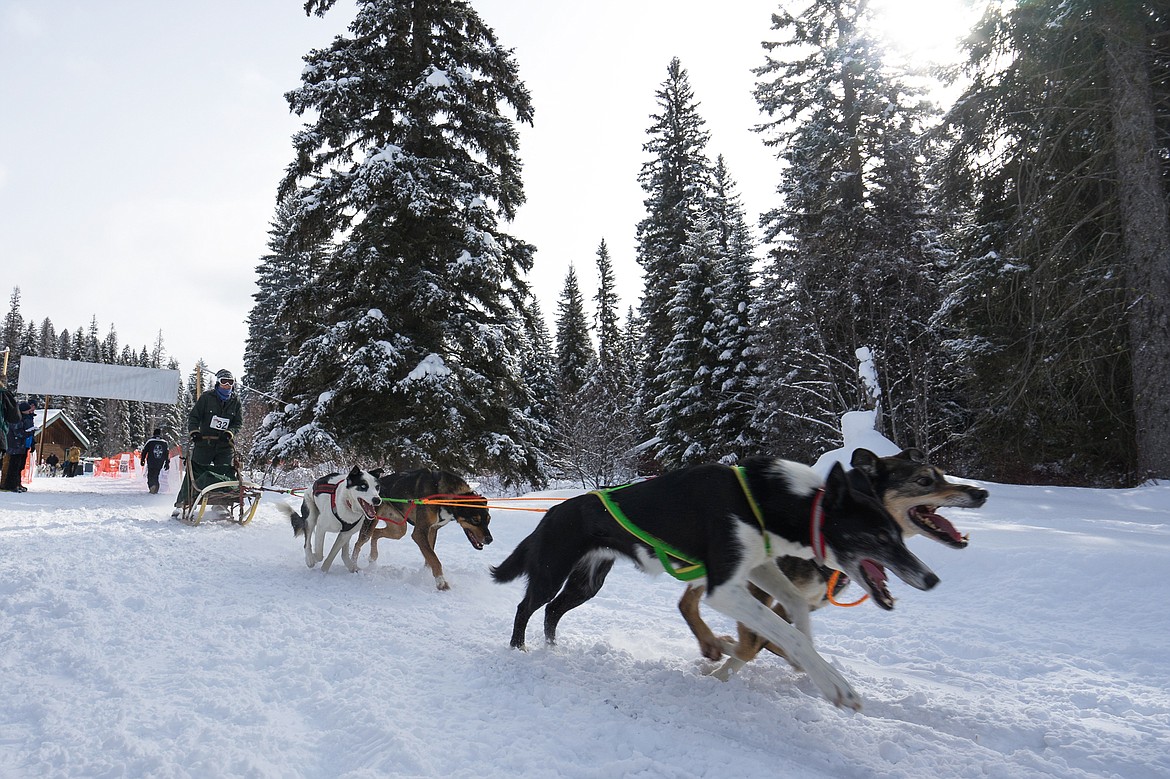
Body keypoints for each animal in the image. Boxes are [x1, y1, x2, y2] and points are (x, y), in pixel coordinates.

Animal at [351, 467, 489, 589]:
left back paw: (373, 557)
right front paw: (441, 582)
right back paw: (353, 566)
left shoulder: (432, 530)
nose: (489, 539)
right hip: (371, 523)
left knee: (376, 533)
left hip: (399, 529)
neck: (440, 492)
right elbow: (434, 558)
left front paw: (426, 574)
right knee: (359, 542)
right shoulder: (419, 533)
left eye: (488, 520)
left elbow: (429, 557)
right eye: (475, 520)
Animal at [491, 451, 940, 711]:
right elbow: (784, 631)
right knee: (526, 607)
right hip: (552, 572)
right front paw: (835, 685)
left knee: (553, 611)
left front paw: (806, 658)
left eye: (897, 534)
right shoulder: (724, 588)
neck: (767, 501)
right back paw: (518, 650)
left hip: (587, 583)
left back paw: (552, 648)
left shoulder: (757, 567)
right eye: (879, 536)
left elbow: (795, 609)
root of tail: (553, 511)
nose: (931, 578)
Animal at [678, 446, 987, 678]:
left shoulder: (802, 602)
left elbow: (770, 641)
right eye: (924, 480)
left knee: (686, 602)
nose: (981, 493)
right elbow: (753, 643)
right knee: (687, 602)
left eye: (942, 476)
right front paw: (721, 668)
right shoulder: (759, 588)